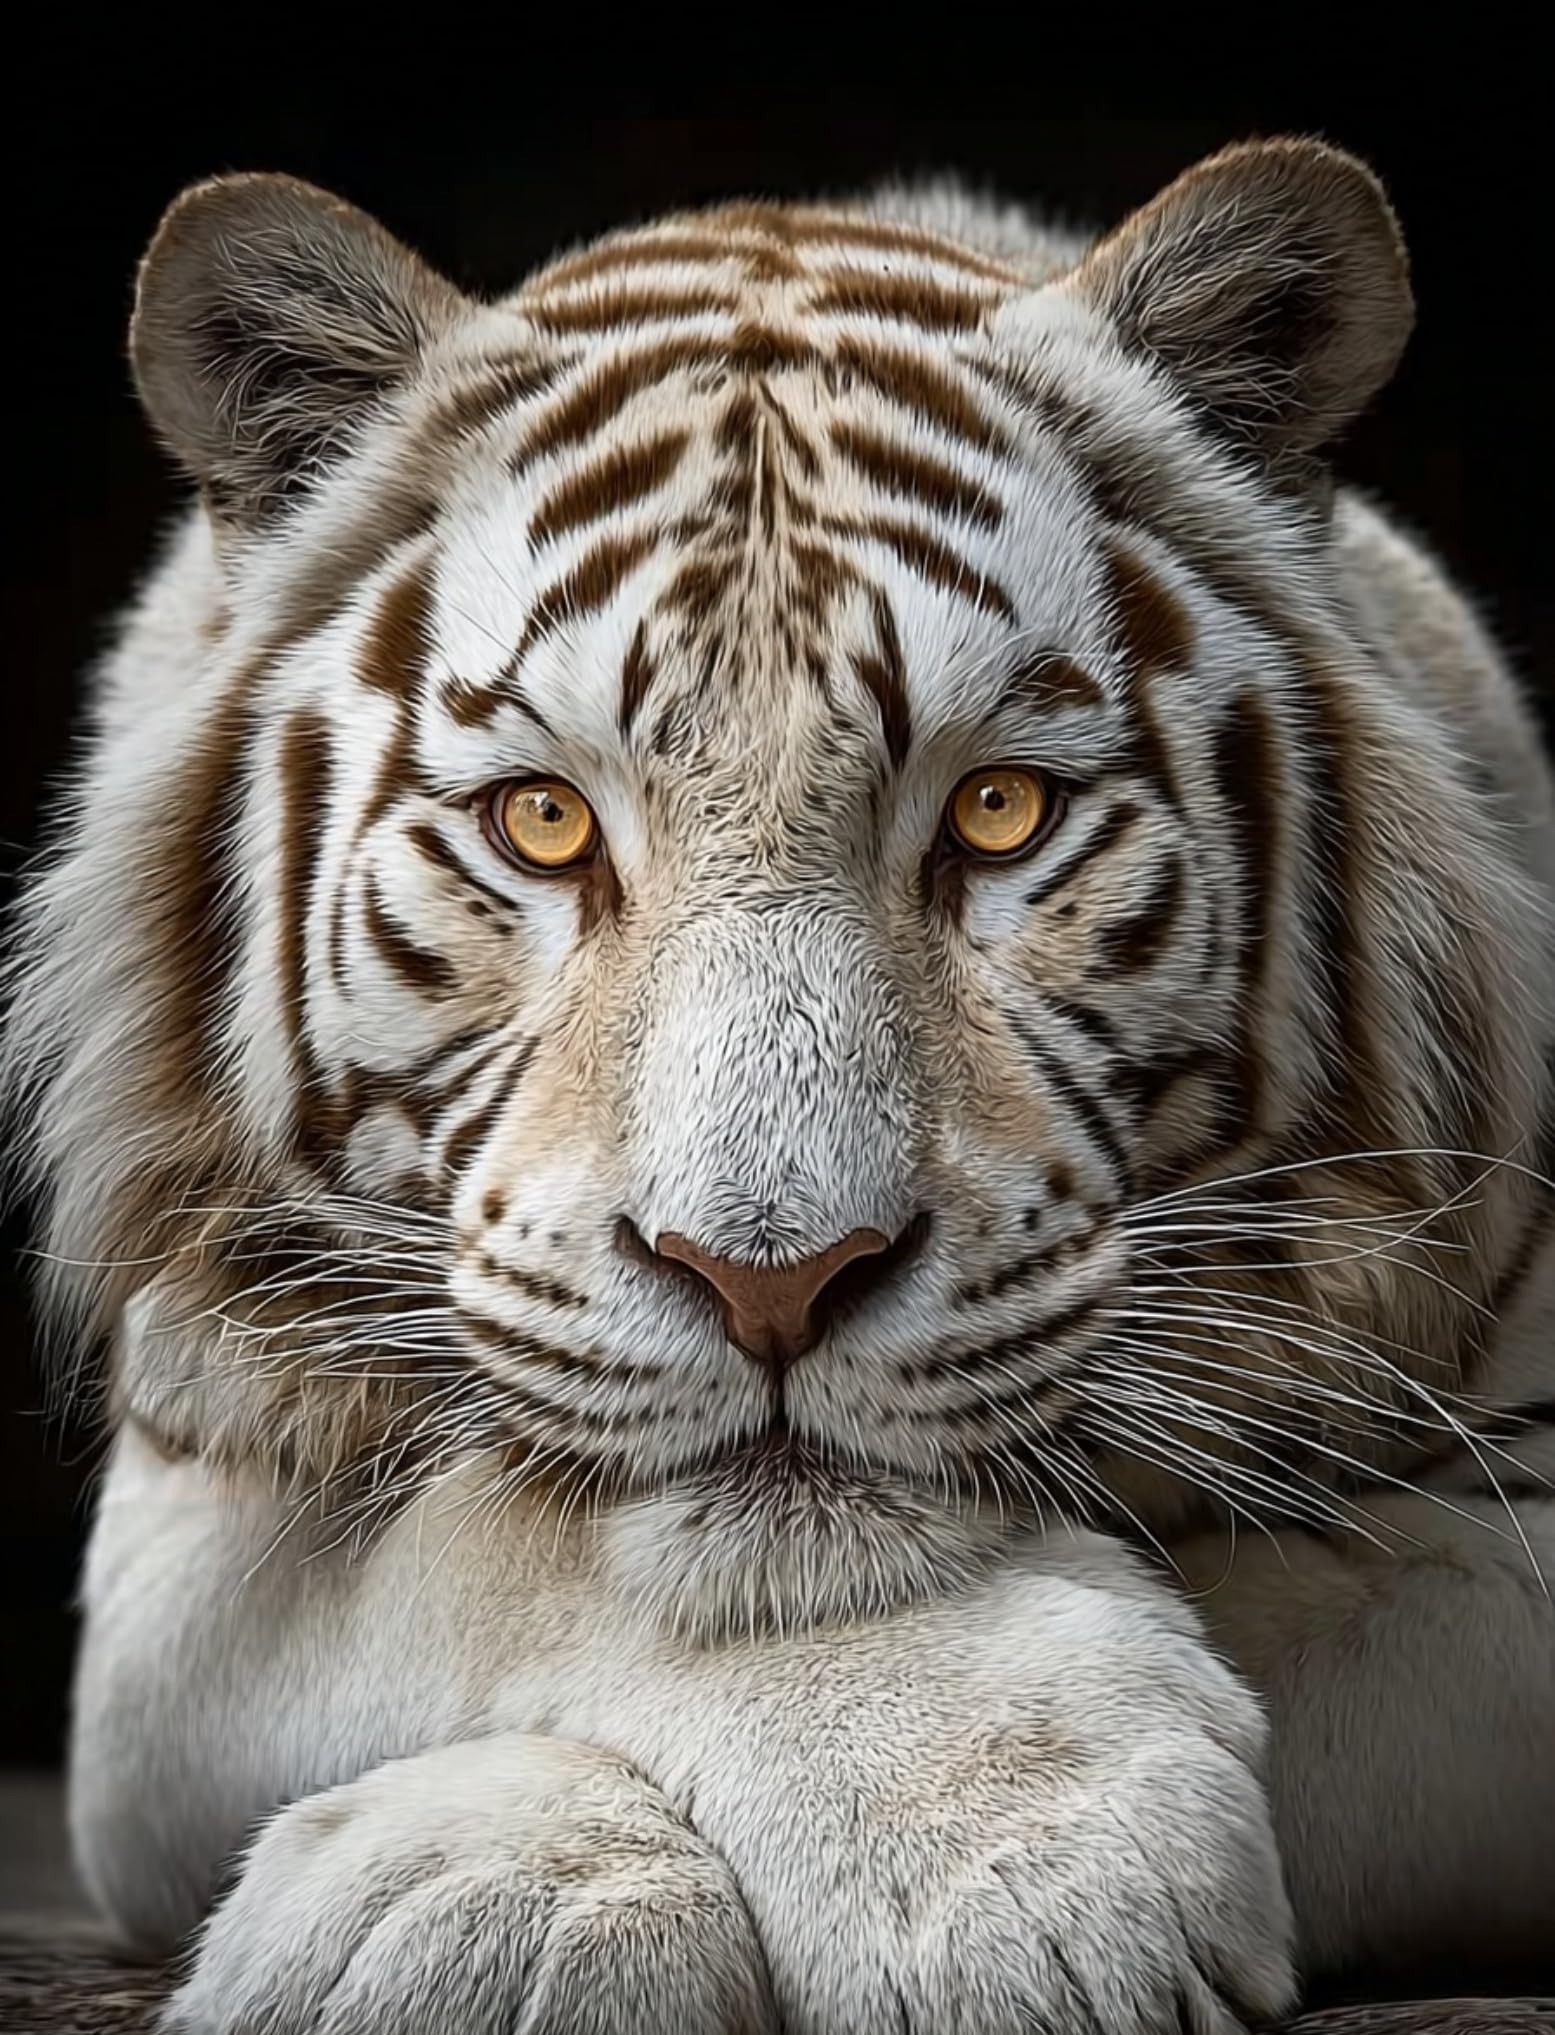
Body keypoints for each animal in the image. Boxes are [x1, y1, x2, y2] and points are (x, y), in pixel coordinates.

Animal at [5, 134, 1554, 2035]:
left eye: (999, 813)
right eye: (543, 820)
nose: (773, 1280)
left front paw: (1016, 1860)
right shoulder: (188, 1540)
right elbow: (473, 1549)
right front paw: (496, 1899)